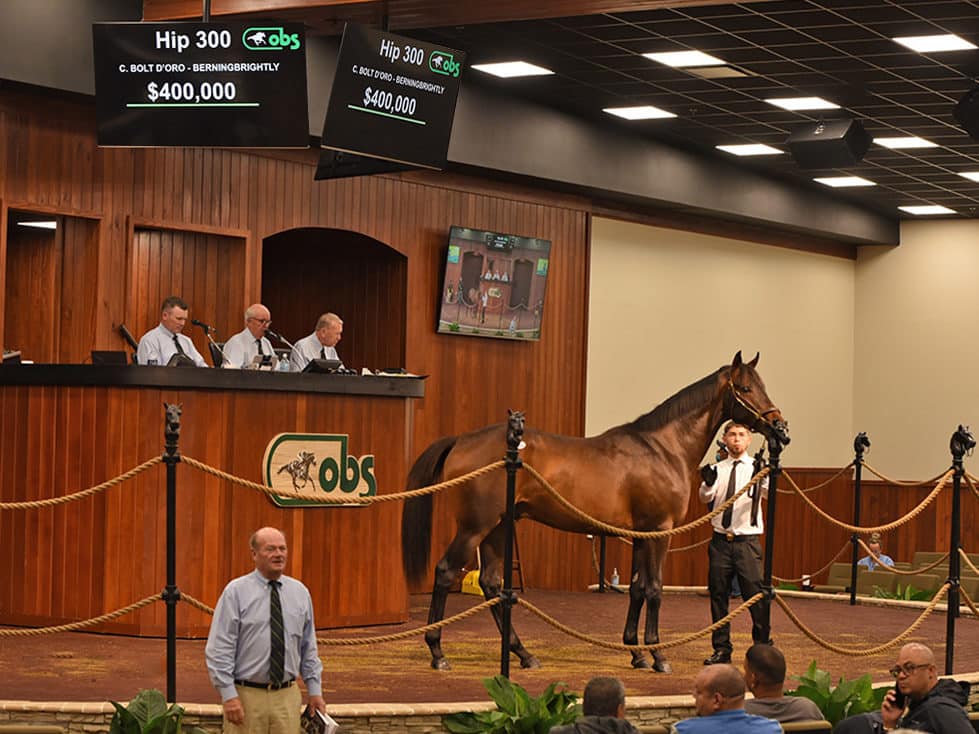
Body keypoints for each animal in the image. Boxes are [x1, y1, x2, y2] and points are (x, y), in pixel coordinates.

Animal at [402, 350, 792, 672]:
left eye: (762, 385)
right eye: (746, 388)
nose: (781, 429)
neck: (663, 448)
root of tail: (462, 439)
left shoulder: (640, 535)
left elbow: (636, 589)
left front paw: (635, 653)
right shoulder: (658, 532)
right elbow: (654, 589)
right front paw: (658, 655)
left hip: (499, 528)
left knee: (491, 583)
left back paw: (524, 654)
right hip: (476, 527)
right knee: (445, 571)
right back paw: (438, 653)